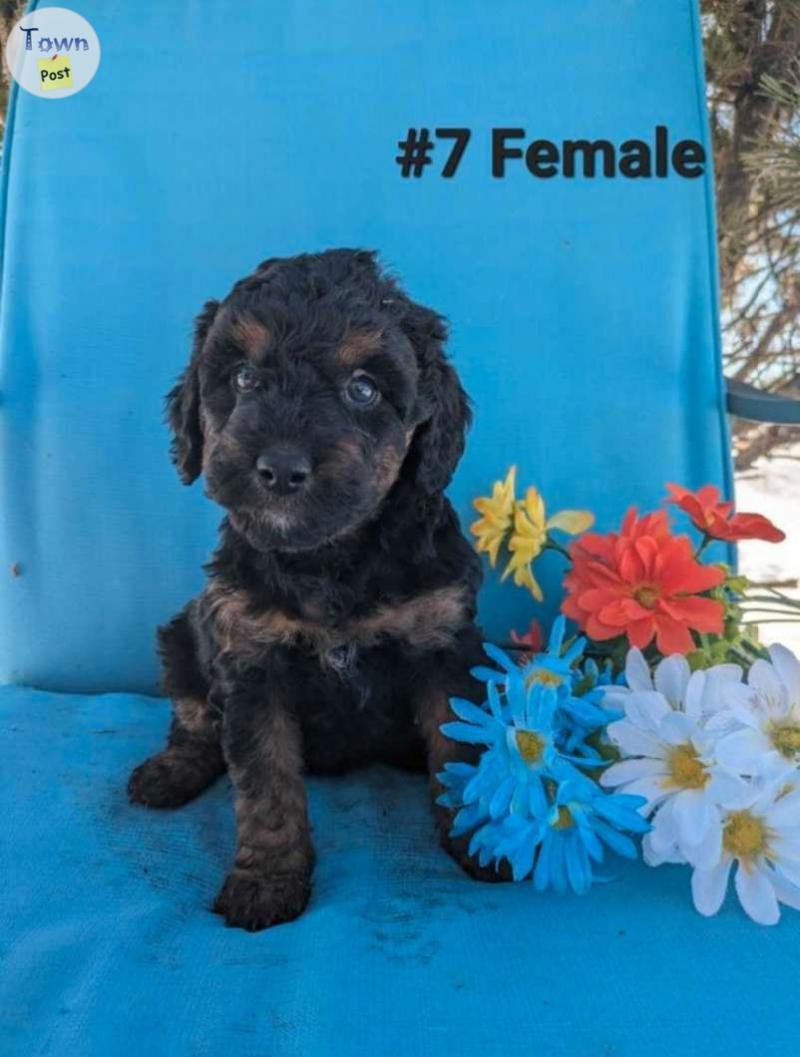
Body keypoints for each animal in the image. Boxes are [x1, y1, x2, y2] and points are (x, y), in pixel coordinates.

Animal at [126, 249, 486, 934]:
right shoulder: (249, 658)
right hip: (182, 635)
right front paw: (267, 880)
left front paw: (486, 837)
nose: (281, 469)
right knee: (192, 716)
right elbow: (265, 781)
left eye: (363, 388)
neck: (331, 557)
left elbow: (460, 747)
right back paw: (170, 772)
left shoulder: (445, 644)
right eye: (243, 379)